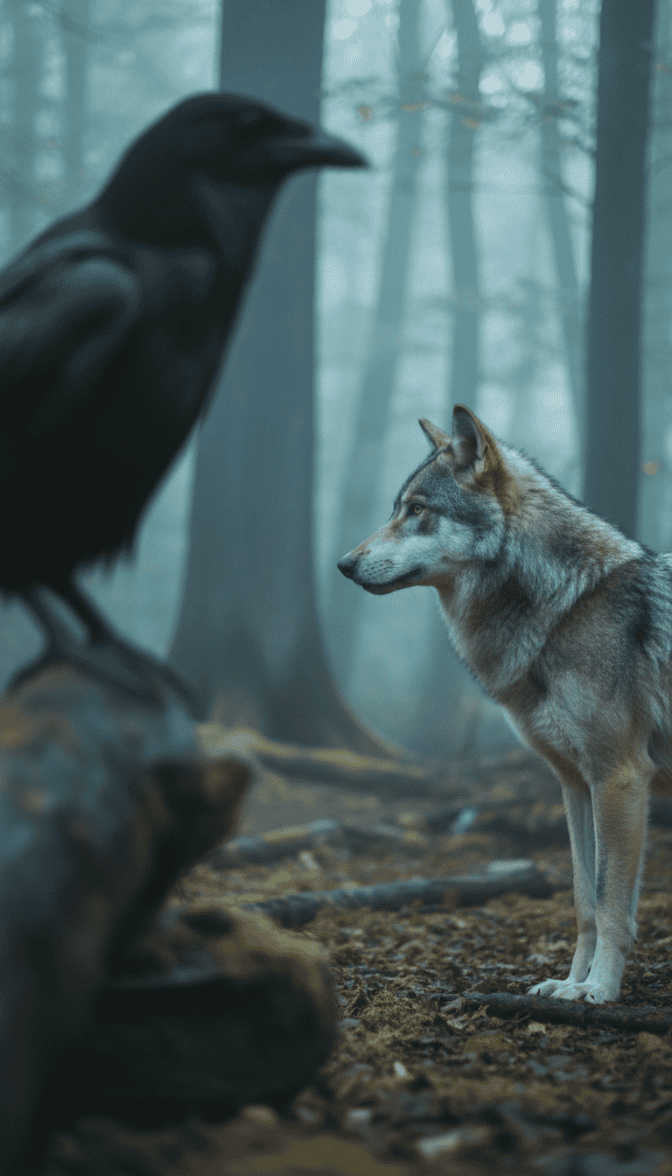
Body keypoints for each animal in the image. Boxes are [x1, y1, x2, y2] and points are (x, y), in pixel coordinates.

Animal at [338, 404, 672, 1004]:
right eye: (396, 509)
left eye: (417, 510)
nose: (343, 564)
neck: (568, 605)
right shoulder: (575, 784)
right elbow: (583, 898)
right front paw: (569, 981)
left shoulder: (621, 777)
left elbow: (610, 900)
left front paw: (598, 991)